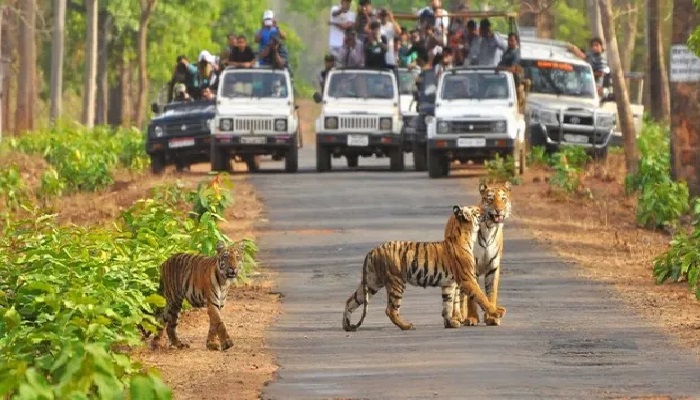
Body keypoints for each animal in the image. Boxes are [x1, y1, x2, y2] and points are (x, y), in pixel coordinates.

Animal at [342, 205, 506, 332]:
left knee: (351, 300)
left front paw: (450, 323)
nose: (487, 210)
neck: (466, 235)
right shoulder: (468, 279)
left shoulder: (449, 283)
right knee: (391, 310)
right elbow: (481, 297)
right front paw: (497, 312)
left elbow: (447, 304)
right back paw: (407, 326)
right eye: (476, 210)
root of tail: (373, 250)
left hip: (372, 282)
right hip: (396, 282)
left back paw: (347, 326)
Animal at [448, 183, 516, 326]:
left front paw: (491, 317)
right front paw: (472, 318)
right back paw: (458, 317)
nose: (499, 210)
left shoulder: (493, 267)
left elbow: (491, 293)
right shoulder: (471, 267)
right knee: (458, 294)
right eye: (490, 199)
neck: (490, 228)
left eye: (503, 199)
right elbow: (472, 297)